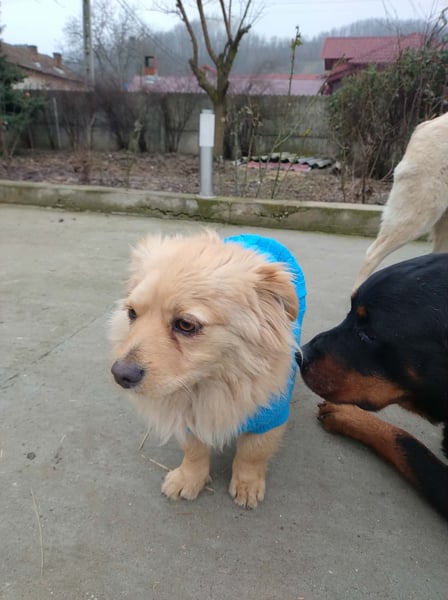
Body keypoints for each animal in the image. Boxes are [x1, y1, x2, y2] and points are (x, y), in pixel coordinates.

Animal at [110, 231, 306, 508]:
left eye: (186, 325)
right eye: (132, 313)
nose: (120, 374)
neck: (210, 385)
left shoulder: (269, 418)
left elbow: (252, 453)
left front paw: (247, 485)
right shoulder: (188, 417)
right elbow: (194, 450)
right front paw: (190, 479)